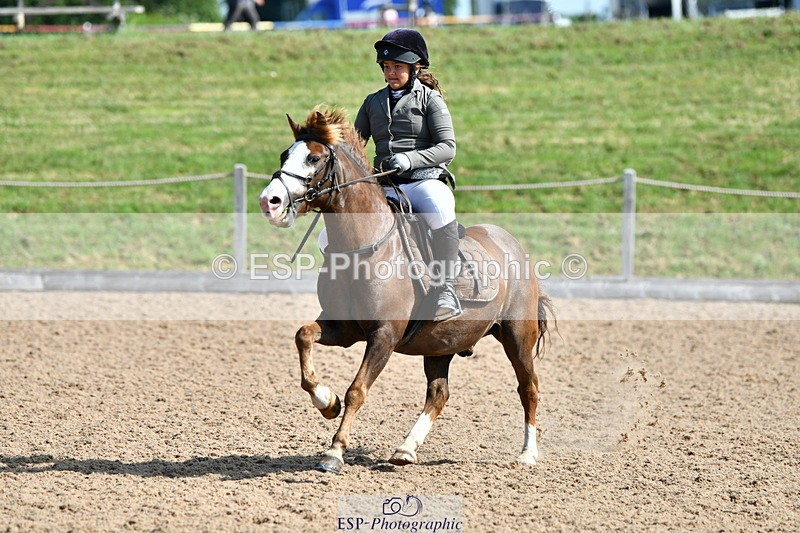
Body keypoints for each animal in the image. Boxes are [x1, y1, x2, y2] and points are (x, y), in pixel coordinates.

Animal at [259, 106, 554, 474]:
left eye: (313, 158)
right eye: (285, 155)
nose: (269, 201)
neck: (364, 246)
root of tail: (514, 245)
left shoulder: (384, 335)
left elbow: (357, 390)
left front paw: (334, 452)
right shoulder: (343, 329)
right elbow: (303, 337)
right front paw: (327, 402)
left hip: (517, 337)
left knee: (528, 387)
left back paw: (527, 454)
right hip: (441, 345)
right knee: (439, 394)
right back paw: (405, 449)